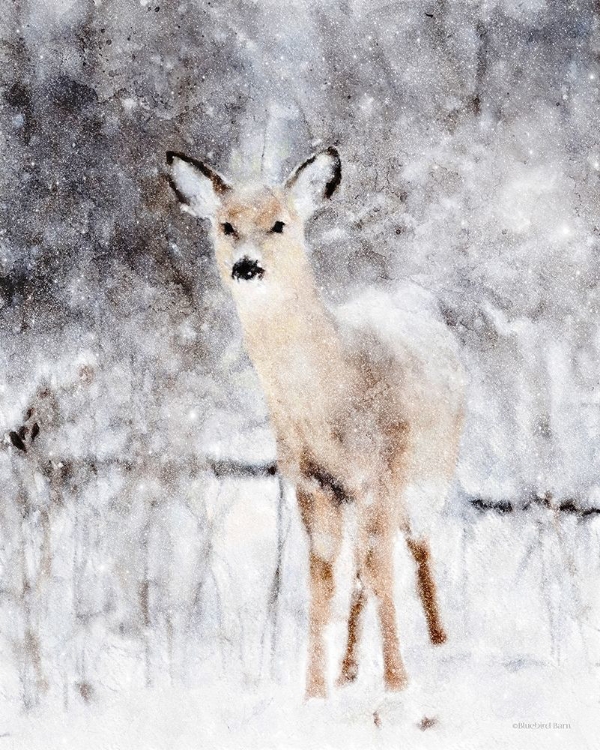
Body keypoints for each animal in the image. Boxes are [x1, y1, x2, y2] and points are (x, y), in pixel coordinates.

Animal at [166, 145, 466, 700]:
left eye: (280, 223)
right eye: (226, 225)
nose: (246, 266)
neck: (330, 397)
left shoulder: (382, 471)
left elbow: (380, 570)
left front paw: (397, 684)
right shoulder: (310, 481)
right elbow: (322, 580)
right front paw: (314, 692)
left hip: (431, 468)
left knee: (415, 547)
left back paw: (439, 644)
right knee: (362, 568)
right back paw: (349, 670)